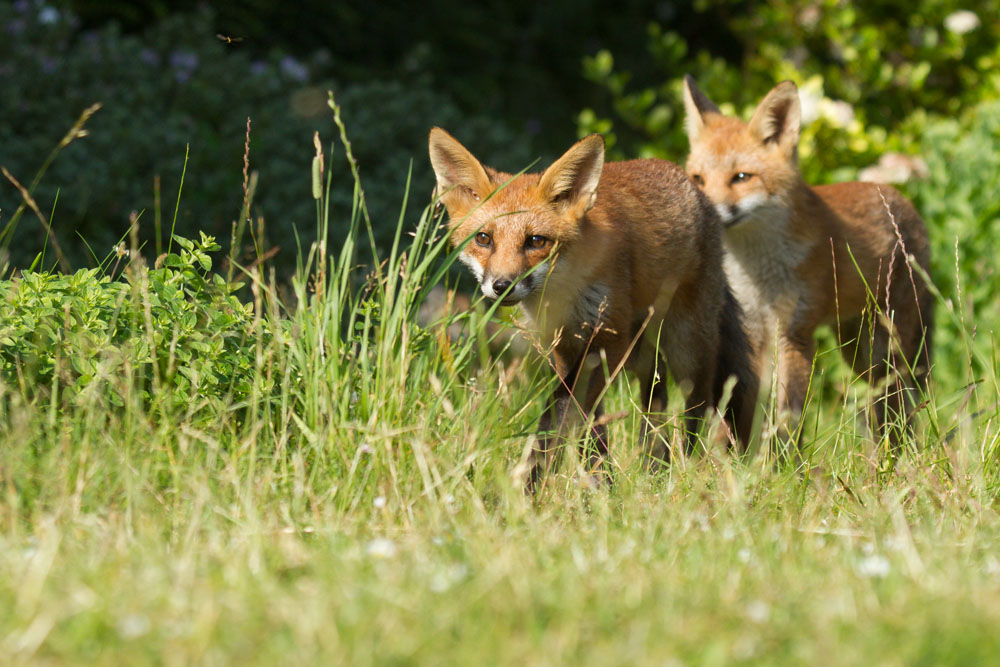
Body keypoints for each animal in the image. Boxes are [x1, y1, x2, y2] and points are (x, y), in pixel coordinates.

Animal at [428, 127, 756, 488]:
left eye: (536, 241)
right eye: (484, 239)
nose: (502, 285)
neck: (564, 292)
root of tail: (695, 188)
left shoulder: (605, 340)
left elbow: (560, 409)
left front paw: (531, 482)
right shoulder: (564, 345)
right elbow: (588, 420)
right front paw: (599, 480)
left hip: (686, 348)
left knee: (700, 407)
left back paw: (688, 468)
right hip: (640, 349)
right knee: (655, 392)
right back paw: (654, 465)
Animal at [681, 76, 934, 448]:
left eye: (741, 177)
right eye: (698, 179)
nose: (707, 212)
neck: (758, 273)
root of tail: (903, 200)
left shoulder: (794, 333)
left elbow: (788, 414)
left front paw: (784, 459)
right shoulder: (752, 331)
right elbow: (745, 406)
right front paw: (732, 459)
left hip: (886, 347)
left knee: (898, 405)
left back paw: (899, 452)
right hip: (858, 351)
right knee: (883, 406)